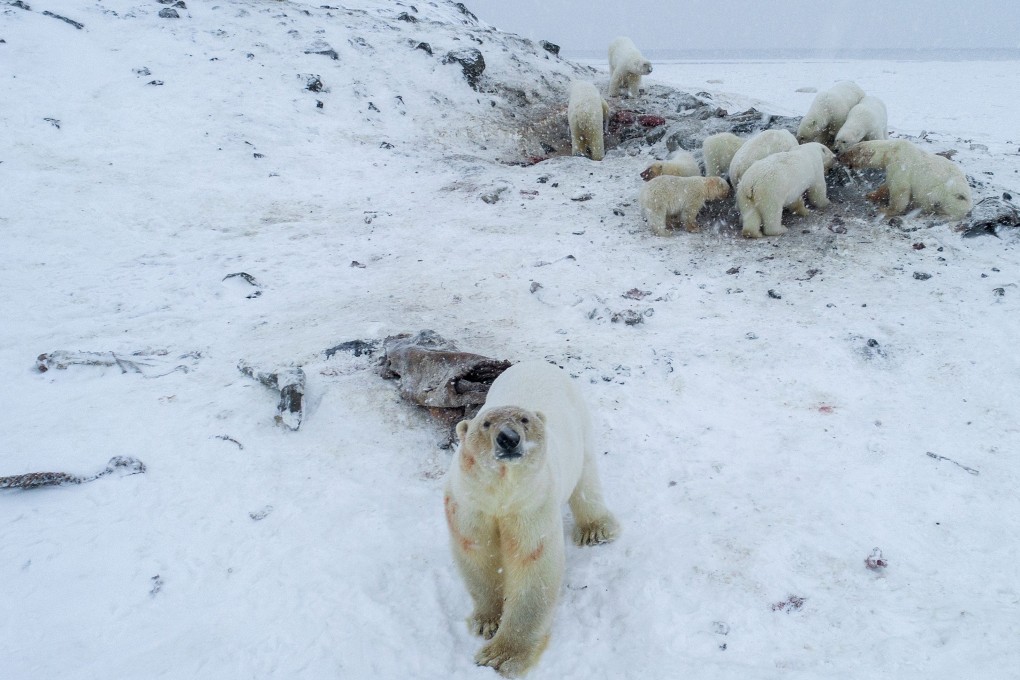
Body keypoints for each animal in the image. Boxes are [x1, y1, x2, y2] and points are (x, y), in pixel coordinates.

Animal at [444, 360, 619, 678]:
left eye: (524, 420)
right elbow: (477, 553)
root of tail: (537, 362)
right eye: (485, 424)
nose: (508, 438)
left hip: (579, 423)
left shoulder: (531, 506)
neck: (501, 494)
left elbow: (532, 565)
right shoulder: (470, 505)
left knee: (586, 475)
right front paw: (487, 622)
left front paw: (500, 656)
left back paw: (595, 530)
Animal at [839, 139, 973, 220]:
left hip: (946, 194)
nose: (839, 156)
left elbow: (899, 189)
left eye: (848, 152)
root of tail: (968, 201)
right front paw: (871, 195)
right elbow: (887, 184)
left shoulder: (900, 163)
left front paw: (886, 210)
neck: (891, 150)